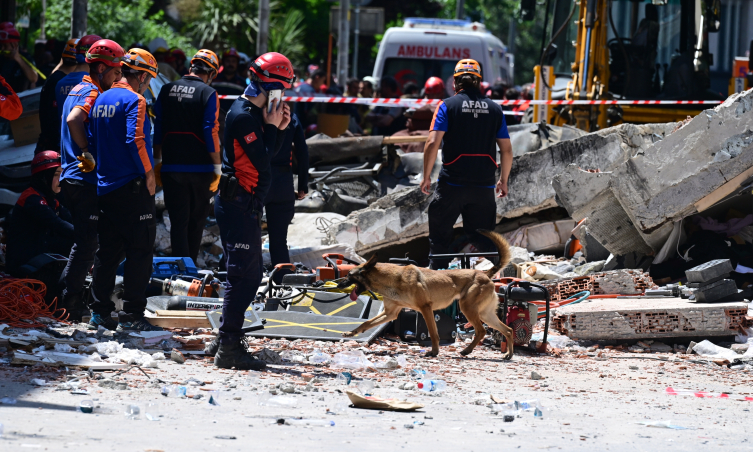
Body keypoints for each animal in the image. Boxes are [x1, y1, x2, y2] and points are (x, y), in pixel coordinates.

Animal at [338, 230, 516, 360]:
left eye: (349, 275)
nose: (339, 284)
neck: (391, 279)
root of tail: (485, 274)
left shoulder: (425, 309)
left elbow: (433, 333)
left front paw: (434, 352)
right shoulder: (390, 313)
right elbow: (366, 323)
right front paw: (351, 333)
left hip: (468, 308)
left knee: (481, 331)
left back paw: (467, 351)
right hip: (485, 314)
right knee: (507, 330)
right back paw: (508, 354)